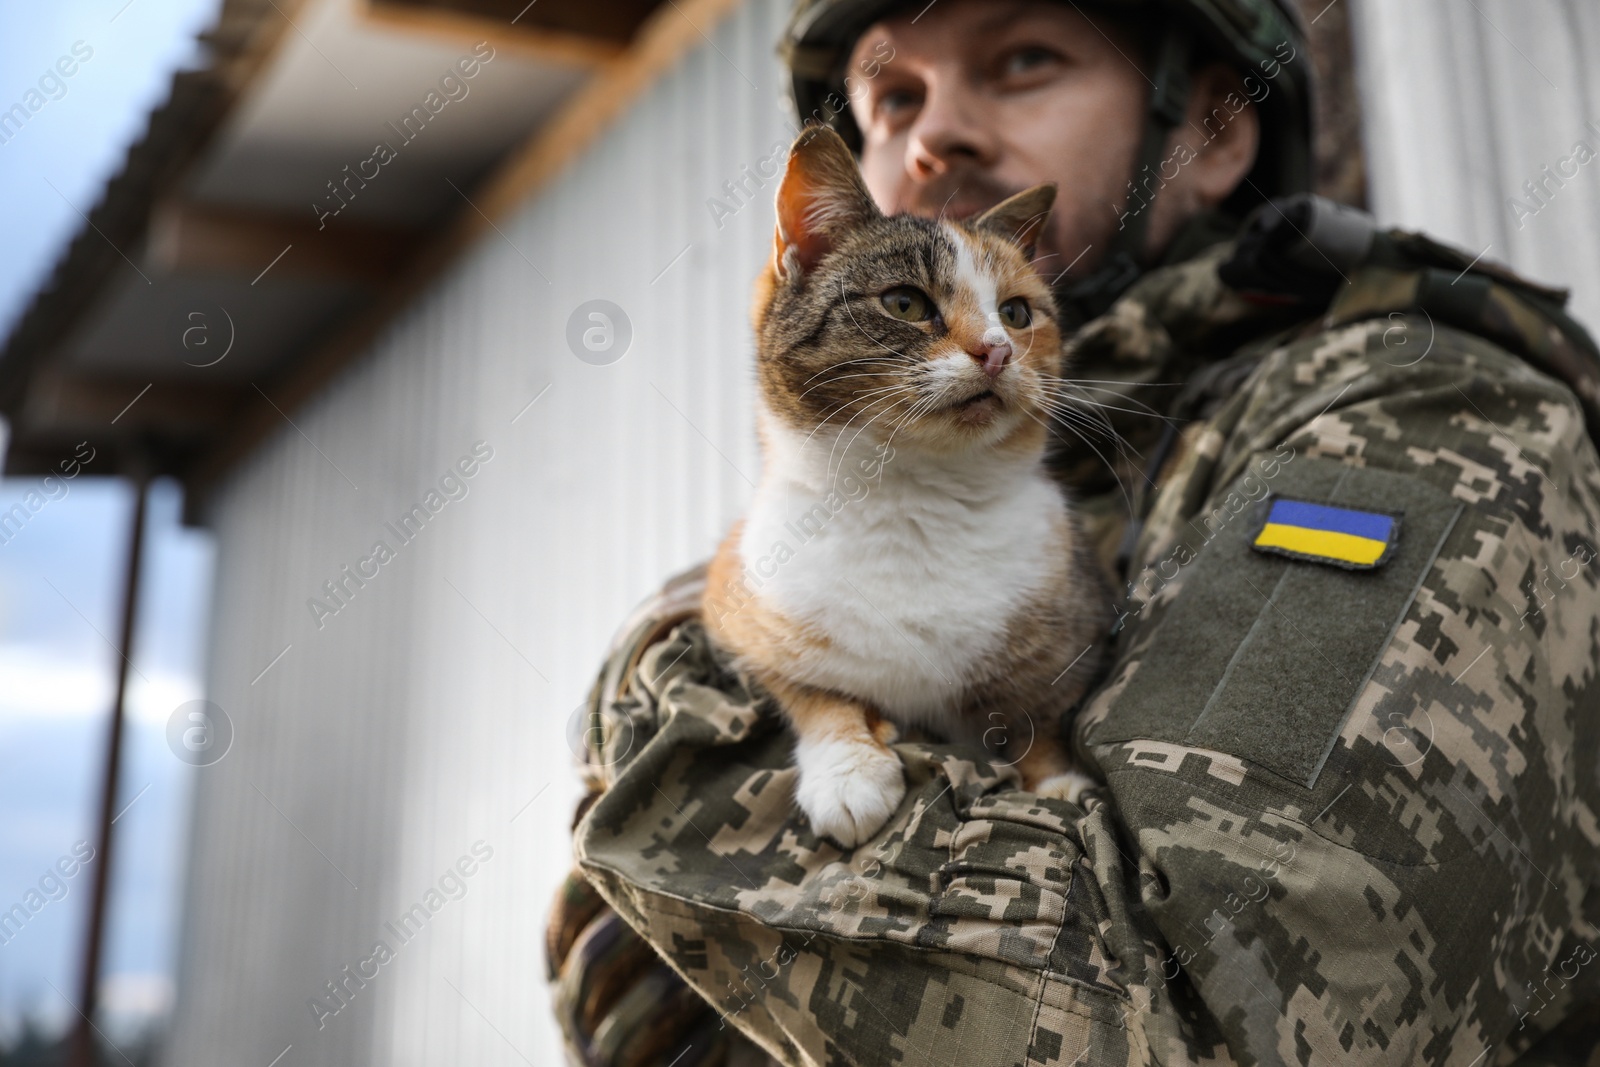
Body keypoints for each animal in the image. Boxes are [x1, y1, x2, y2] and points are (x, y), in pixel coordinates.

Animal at [707, 125, 1107, 844]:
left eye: (1017, 312)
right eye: (904, 302)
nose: (998, 350)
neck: (914, 497)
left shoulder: (1073, 625)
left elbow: (1037, 712)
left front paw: (1055, 782)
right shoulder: (735, 608)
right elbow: (814, 690)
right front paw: (848, 768)